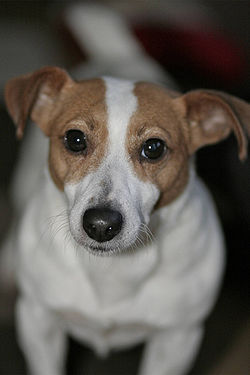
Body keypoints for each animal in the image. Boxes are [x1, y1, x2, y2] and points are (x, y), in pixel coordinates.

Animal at [2, 3, 250, 375]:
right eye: (75, 140)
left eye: (154, 148)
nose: (101, 225)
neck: (113, 270)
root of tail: (121, 55)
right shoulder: (38, 321)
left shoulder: (177, 339)